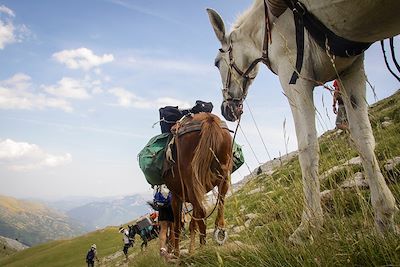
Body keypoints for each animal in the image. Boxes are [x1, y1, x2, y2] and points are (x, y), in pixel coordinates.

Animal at [208, 0, 398, 246]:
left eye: (216, 63)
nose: (227, 109)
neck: (271, 24)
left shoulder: (294, 77)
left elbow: (307, 148)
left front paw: (308, 226)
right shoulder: (350, 68)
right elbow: (363, 138)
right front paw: (384, 218)